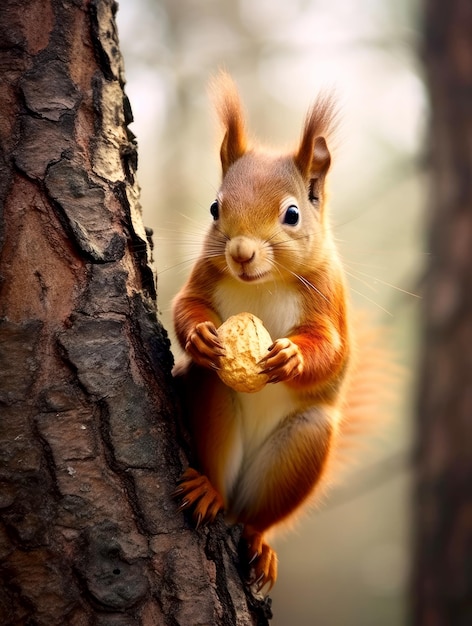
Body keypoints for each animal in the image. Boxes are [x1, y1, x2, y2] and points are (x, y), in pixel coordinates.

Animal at [172, 72, 368, 588]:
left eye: (293, 214)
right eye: (214, 207)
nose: (241, 253)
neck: (262, 282)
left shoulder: (327, 297)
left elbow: (332, 349)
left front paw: (292, 357)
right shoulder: (203, 275)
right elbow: (185, 306)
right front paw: (201, 335)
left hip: (301, 450)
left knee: (255, 518)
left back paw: (259, 541)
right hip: (213, 399)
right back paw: (210, 492)